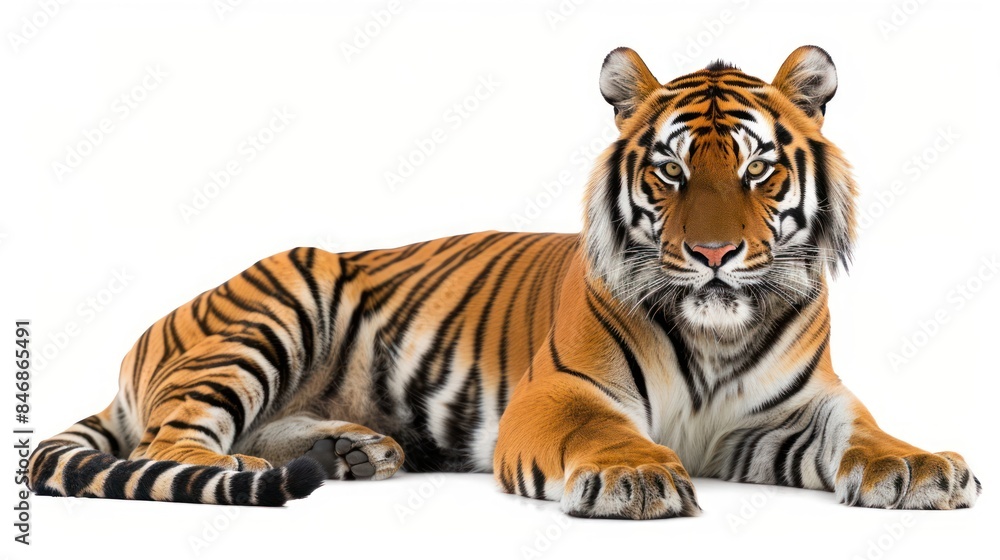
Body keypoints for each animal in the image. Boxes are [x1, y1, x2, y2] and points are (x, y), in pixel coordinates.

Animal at [29, 45, 980, 517]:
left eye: (756, 171)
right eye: (672, 171)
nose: (712, 255)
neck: (718, 333)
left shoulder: (789, 412)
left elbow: (864, 432)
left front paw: (919, 466)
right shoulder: (560, 394)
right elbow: (605, 434)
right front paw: (634, 477)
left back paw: (348, 452)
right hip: (269, 308)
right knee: (171, 446)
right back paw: (259, 469)